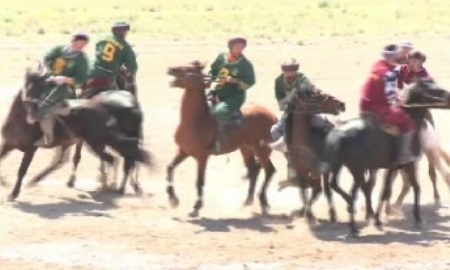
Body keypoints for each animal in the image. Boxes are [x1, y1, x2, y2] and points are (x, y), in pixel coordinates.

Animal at [0, 63, 153, 200]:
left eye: (44, 90)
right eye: (29, 87)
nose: (34, 113)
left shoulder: (31, 150)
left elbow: (22, 170)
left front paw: (13, 194)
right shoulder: (8, 144)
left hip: (97, 143)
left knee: (117, 159)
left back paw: (114, 186)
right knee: (120, 159)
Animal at [166, 61, 278, 217]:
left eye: (189, 69)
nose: (170, 68)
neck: (196, 120)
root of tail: (272, 116)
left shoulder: (202, 157)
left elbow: (199, 181)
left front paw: (196, 208)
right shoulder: (183, 151)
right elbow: (170, 168)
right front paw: (173, 199)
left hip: (262, 149)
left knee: (269, 170)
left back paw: (263, 202)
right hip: (246, 148)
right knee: (253, 170)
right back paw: (248, 201)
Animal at [322, 78, 450, 236]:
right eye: (435, 90)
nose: (448, 98)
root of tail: (338, 132)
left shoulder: (393, 167)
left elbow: (386, 192)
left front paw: (378, 220)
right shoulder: (408, 164)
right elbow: (414, 187)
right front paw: (417, 218)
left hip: (344, 166)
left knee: (338, 185)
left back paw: (355, 216)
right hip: (357, 168)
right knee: (354, 191)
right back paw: (353, 225)